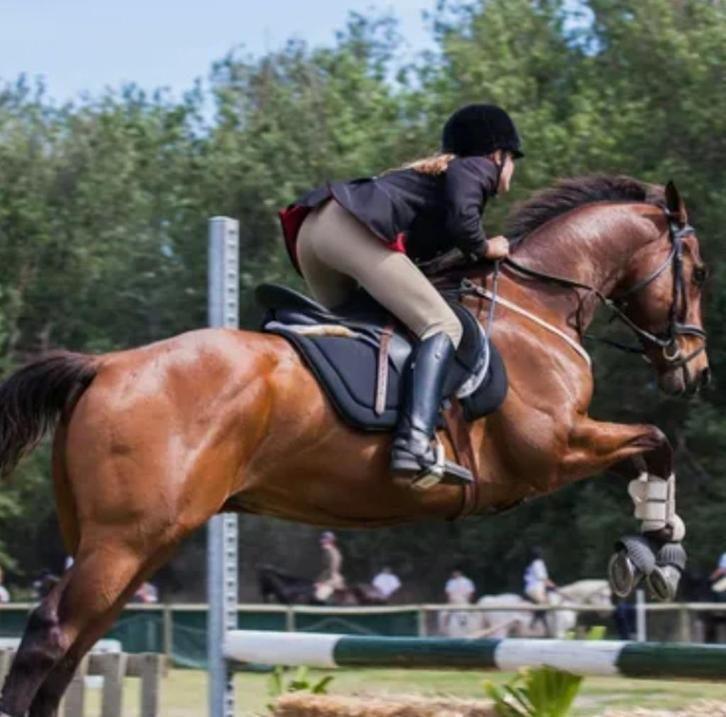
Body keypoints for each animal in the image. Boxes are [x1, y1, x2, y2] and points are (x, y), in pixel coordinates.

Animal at [0, 176, 709, 716]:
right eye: (698, 271)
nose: (694, 371)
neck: (536, 305)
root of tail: (105, 367)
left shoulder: (564, 448)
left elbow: (647, 451)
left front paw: (656, 543)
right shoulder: (552, 450)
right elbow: (655, 442)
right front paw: (657, 554)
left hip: (135, 543)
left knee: (77, 646)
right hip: (125, 541)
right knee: (49, 636)